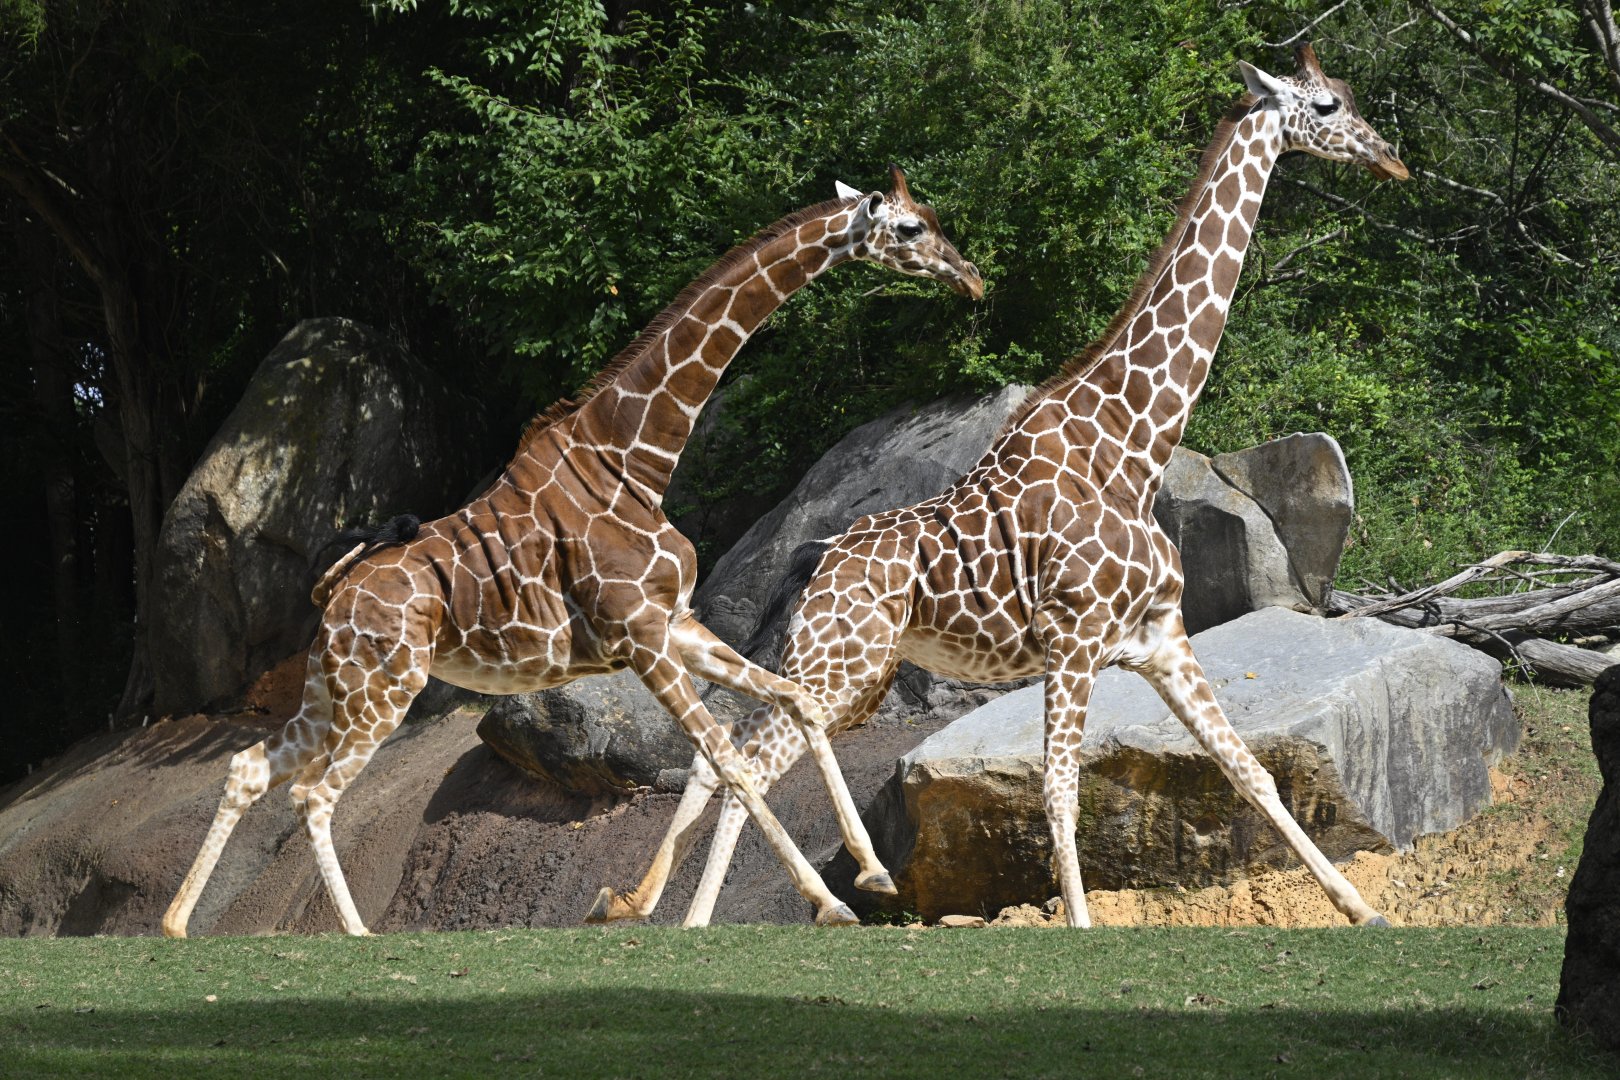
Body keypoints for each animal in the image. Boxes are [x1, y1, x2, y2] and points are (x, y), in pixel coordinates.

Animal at [160, 168, 983, 938]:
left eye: (936, 218)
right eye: (911, 228)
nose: (972, 276)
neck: (632, 460)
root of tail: (333, 592)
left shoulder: (675, 624)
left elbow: (795, 704)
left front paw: (872, 873)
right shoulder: (641, 637)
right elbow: (731, 762)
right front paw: (829, 902)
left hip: (331, 690)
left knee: (249, 768)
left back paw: (174, 923)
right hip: (384, 688)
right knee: (313, 794)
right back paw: (358, 934)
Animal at [592, 46, 1408, 929]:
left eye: (1350, 96)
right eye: (1327, 106)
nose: (1391, 159)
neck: (1132, 444)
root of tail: (815, 565)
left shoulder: (1162, 638)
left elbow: (1248, 769)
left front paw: (1362, 910)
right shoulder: (1075, 642)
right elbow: (1060, 793)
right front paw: (1081, 929)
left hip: (850, 671)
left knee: (730, 755)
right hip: (841, 662)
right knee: (748, 759)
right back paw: (752, 911)